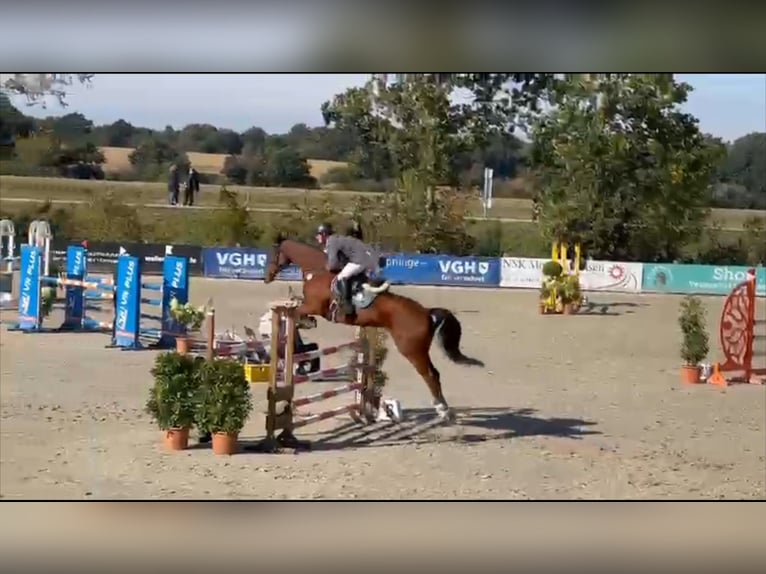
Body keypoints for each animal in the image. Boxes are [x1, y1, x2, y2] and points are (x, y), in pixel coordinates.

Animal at [263, 237, 485, 423]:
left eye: (273, 254)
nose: (266, 277)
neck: (317, 271)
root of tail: (426, 313)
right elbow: (297, 307)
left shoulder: (315, 306)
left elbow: (298, 310)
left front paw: (304, 320)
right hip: (419, 350)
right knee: (435, 374)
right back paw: (444, 410)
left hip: (412, 350)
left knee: (430, 375)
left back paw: (443, 410)